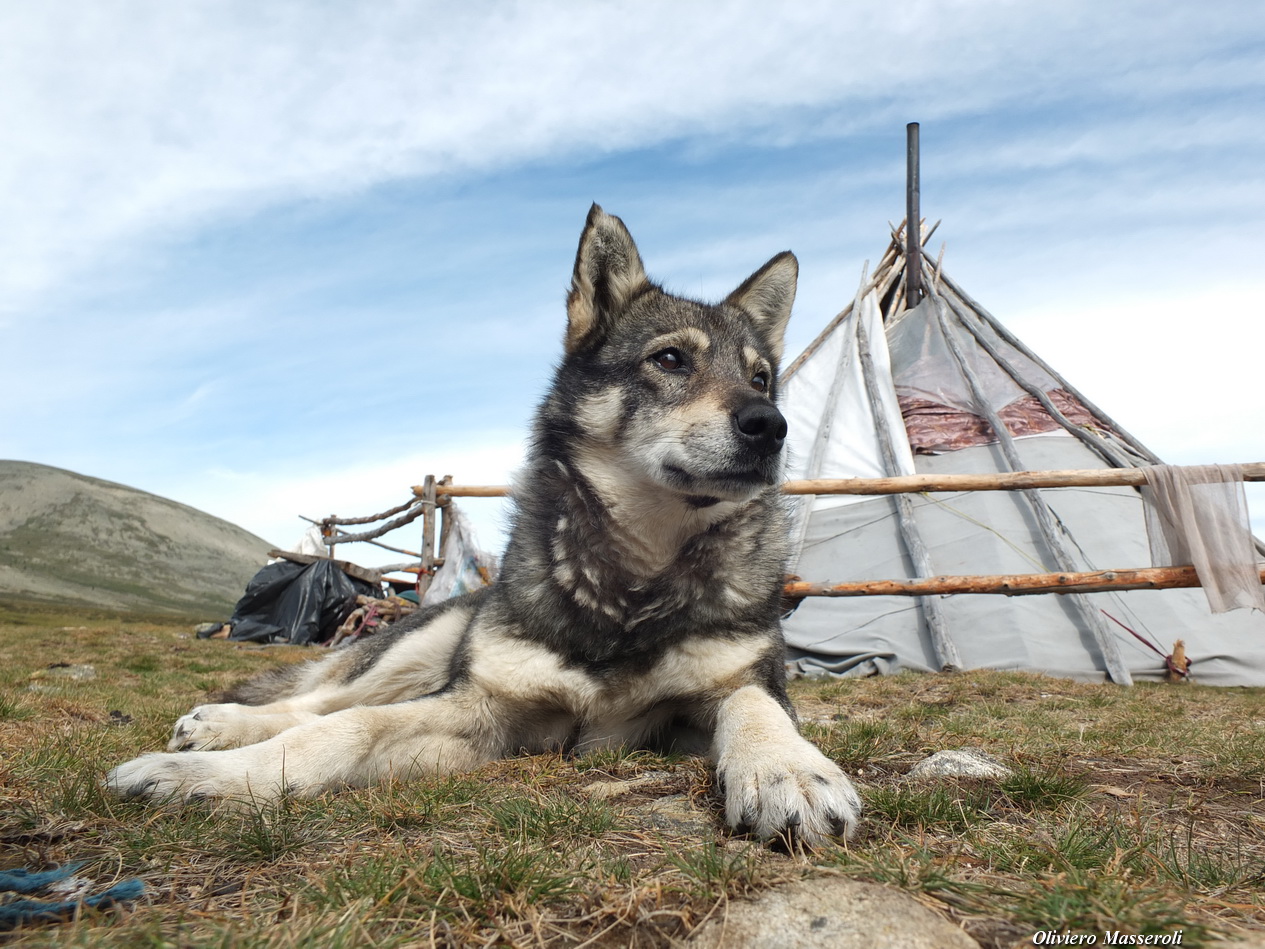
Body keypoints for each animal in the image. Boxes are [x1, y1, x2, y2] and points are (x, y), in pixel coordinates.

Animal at [106, 206, 860, 845]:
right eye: (670, 359)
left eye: (760, 378)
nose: (771, 427)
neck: (631, 582)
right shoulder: (481, 709)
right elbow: (338, 730)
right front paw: (204, 778)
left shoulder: (728, 691)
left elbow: (754, 707)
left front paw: (789, 769)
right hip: (422, 649)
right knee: (321, 700)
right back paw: (219, 726)